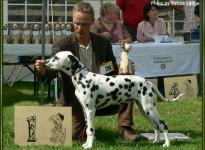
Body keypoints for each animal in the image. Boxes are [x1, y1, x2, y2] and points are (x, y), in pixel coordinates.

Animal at [45, 51, 184, 148]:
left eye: (56, 57)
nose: (45, 62)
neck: (82, 78)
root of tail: (148, 82)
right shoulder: (85, 111)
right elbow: (88, 128)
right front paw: (86, 144)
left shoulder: (90, 110)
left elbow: (90, 130)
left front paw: (89, 146)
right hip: (145, 111)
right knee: (156, 126)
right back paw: (156, 141)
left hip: (150, 109)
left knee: (163, 125)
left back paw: (166, 144)